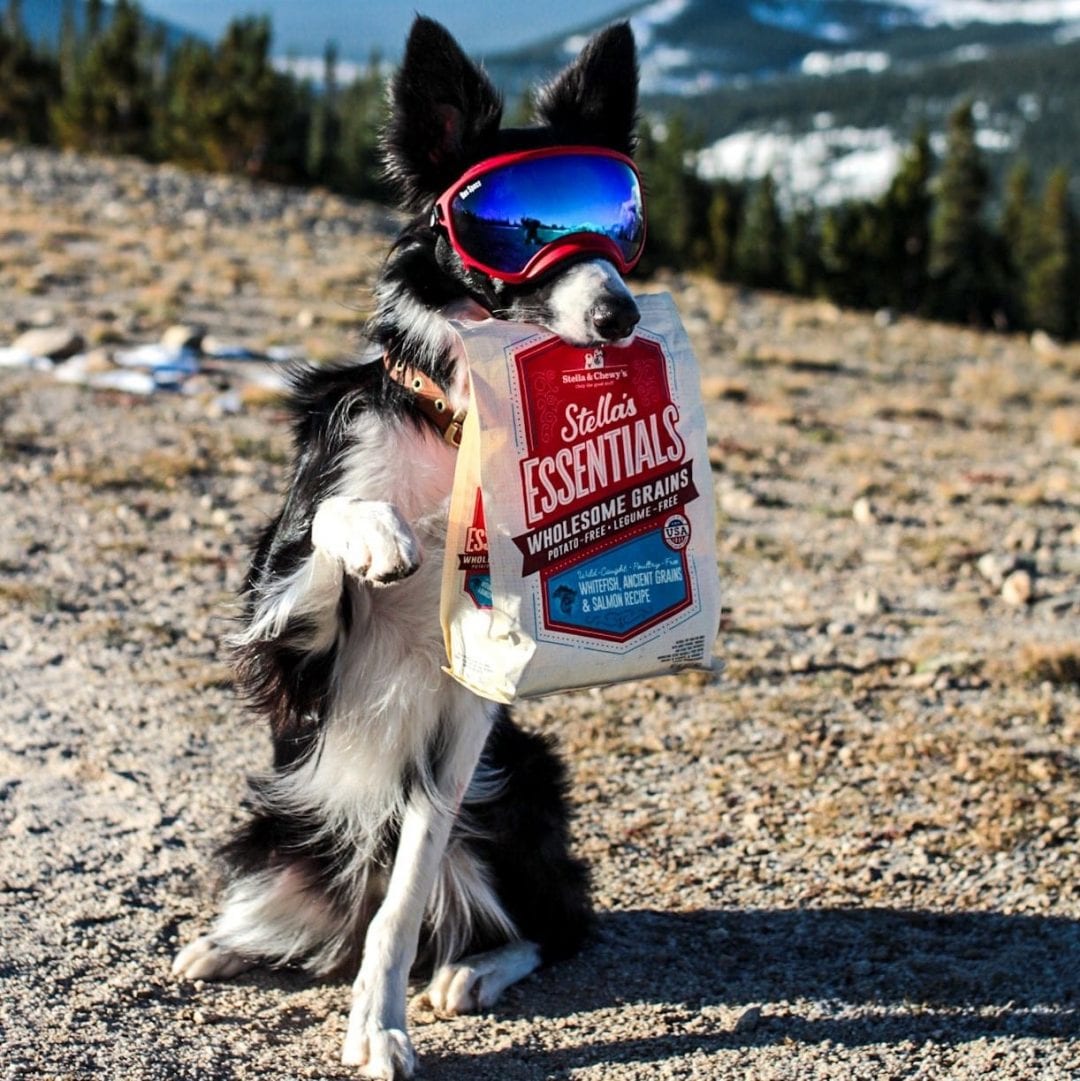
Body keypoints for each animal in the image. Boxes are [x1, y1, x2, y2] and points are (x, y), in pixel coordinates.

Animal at [175, 16, 640, 1081]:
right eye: (511, 226)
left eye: (618, 220)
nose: (621, 312)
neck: (457, 419)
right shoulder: (281, 632)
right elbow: (333, 525)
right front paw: (379, 533)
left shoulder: (467, 716)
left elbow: (405, 896)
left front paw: (379, 1023)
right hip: (276, 827)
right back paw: (224, 942)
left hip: (520, 789)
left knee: (550, 918)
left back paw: (470, 968)